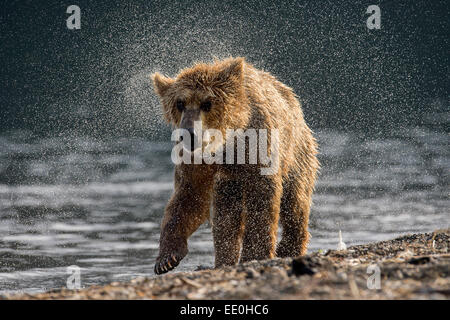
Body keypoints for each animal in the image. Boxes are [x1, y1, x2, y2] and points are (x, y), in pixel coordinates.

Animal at [150, 56, 316, 274]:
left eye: (207, 103)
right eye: (180, 103)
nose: (189, 135)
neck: (228, 143)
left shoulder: (259, 148)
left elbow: (262, 201)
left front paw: (255, 254)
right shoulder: (196, 162)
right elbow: (189, 197)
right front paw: (166, 259)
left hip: (297, 154)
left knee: (295, 203)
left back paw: (288, 248)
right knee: (226, 216)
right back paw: (224, 260)